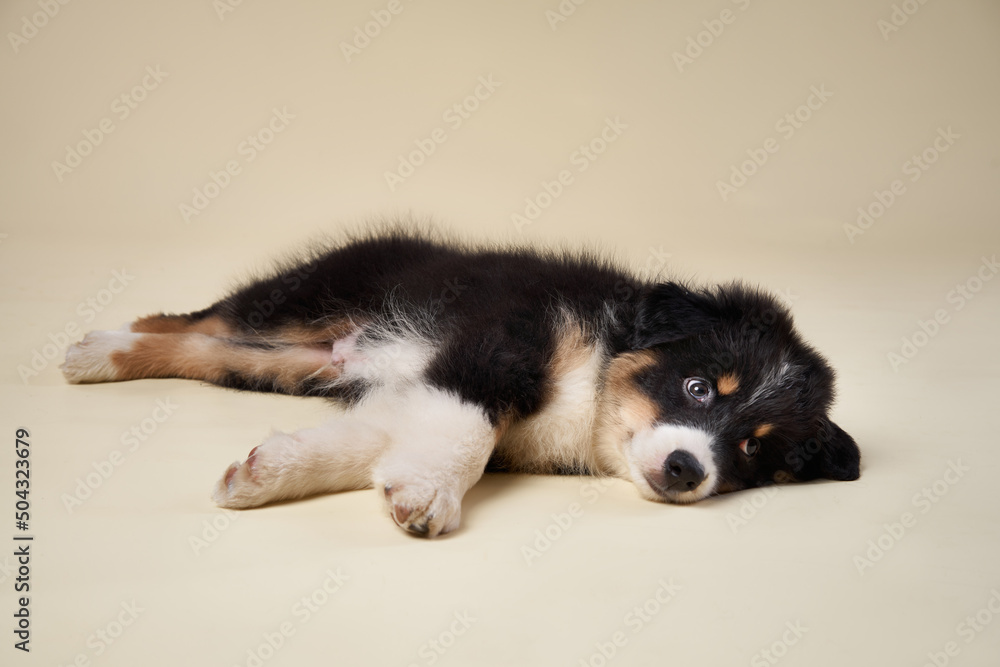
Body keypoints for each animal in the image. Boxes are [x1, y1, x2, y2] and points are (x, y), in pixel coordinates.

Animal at [60, 230, 860, 536]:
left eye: (754, 449)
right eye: (699, 389)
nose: (688, 469)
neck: (596, 384)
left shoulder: (416, 384)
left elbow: (372, 438)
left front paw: (268, 473)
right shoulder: (499, 342)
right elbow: (465, 428)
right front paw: (428, 494)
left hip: (287, 363)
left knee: (201, 345)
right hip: (299, 304)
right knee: (185, 317)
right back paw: (94, 350)